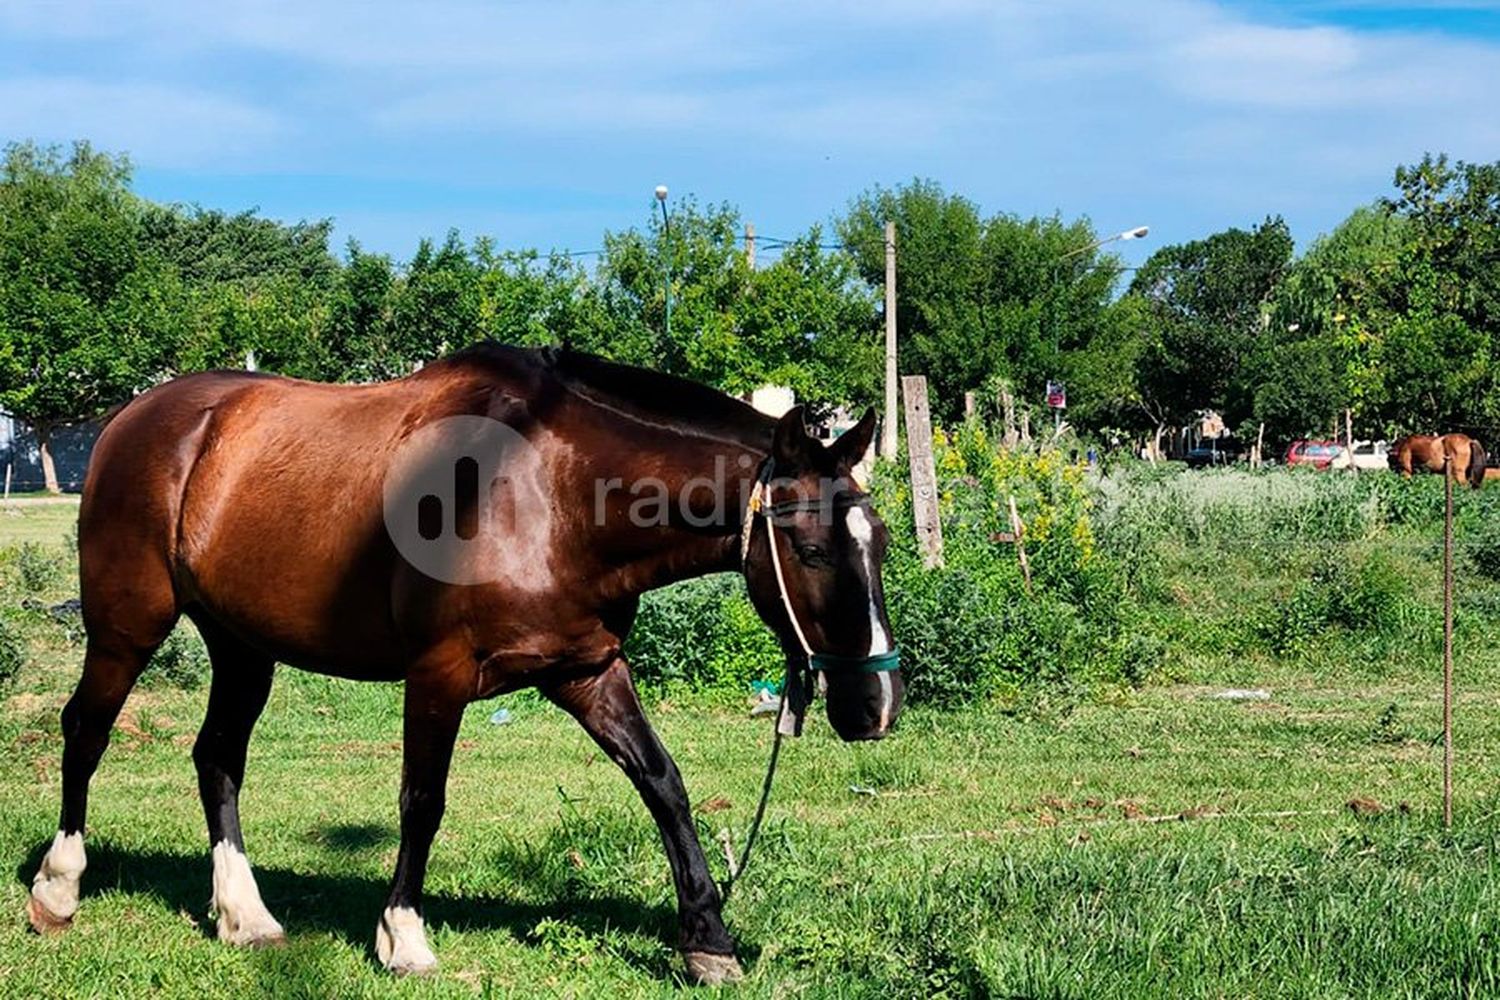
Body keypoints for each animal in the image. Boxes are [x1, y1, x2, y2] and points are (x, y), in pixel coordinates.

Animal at [23, 346, 900, 983]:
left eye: (882, 542)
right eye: (813, 551)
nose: (877, 706)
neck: (545, 491)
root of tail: (134, 417)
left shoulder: (588, 670)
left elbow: (664, 784)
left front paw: (707, 938)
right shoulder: (438, 674)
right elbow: (423, 801)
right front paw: (402, 935)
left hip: (243, 647)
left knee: (217, 758)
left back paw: (245, 915)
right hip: (127, 626)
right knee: (86, 730)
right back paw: (57, 888)